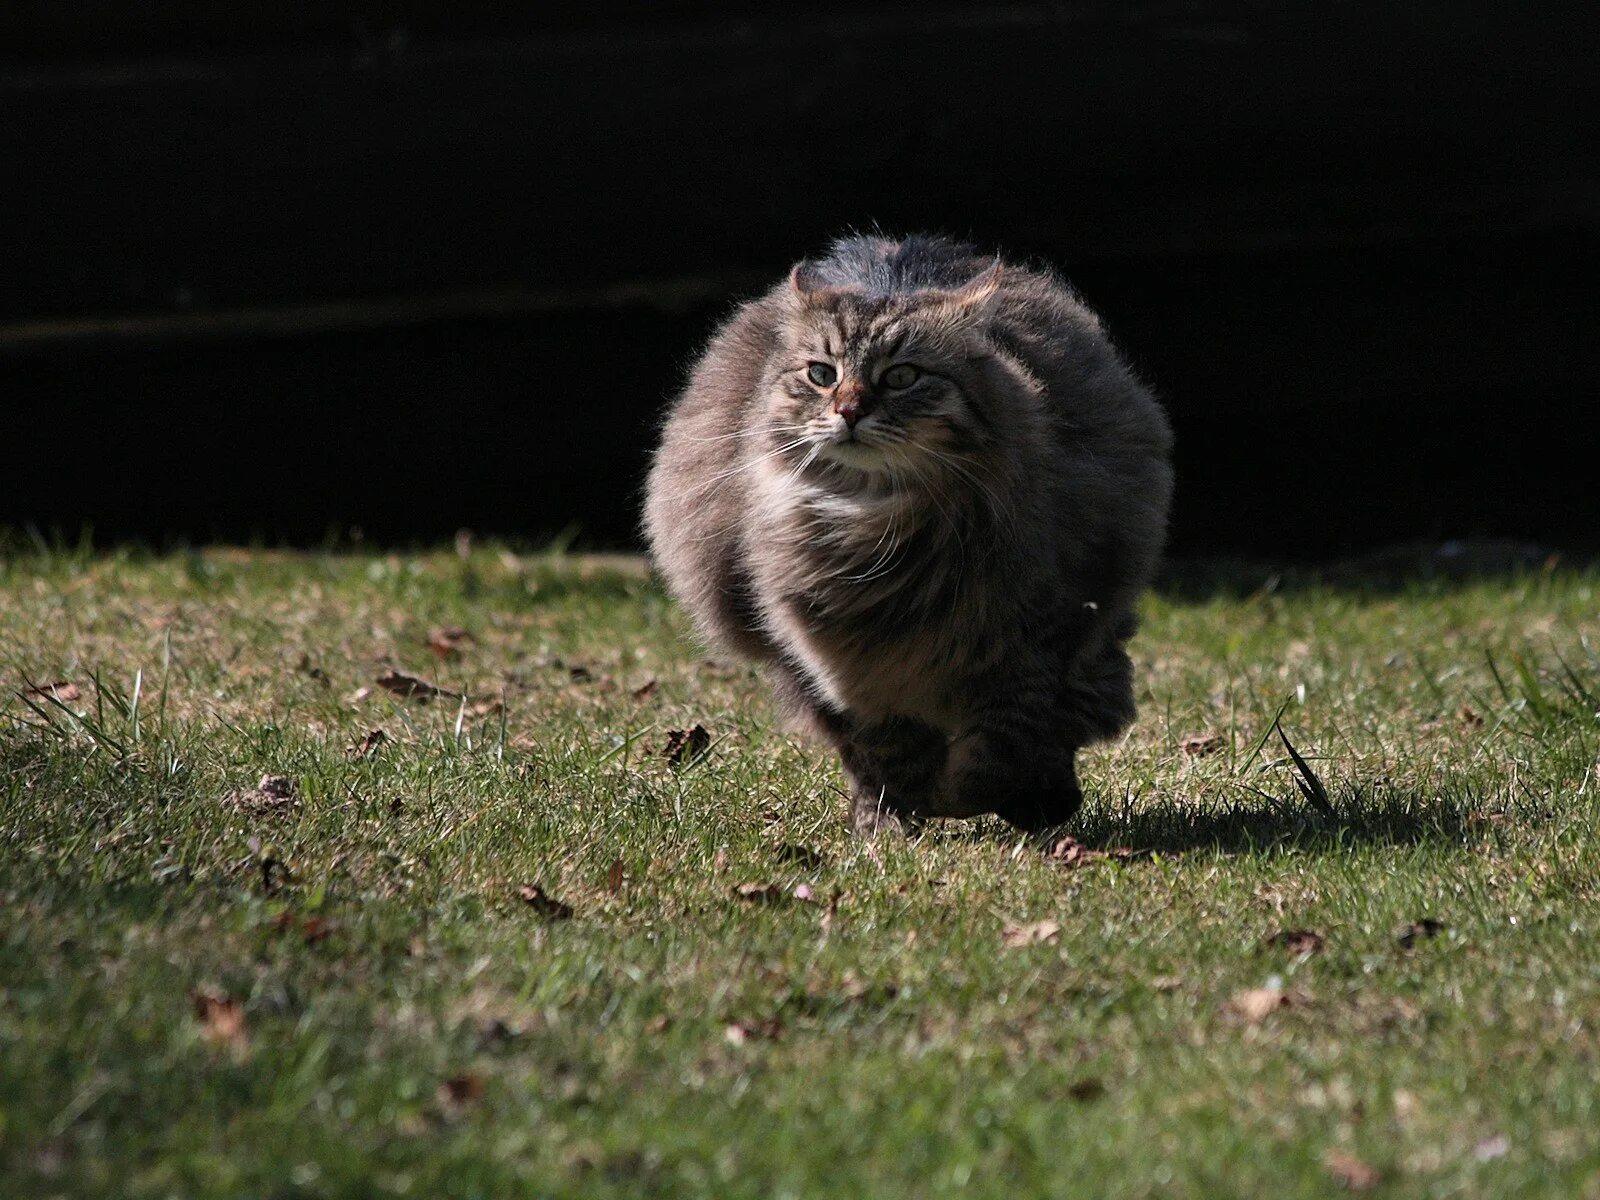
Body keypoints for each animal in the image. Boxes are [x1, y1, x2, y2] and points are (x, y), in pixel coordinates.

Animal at [640, 235, 1177, 838]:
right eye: (821, 374)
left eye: (901, 377)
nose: (848, 410)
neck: (871, 529)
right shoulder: (846, 673)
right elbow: (888, 755)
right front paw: (895, 821)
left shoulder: (1037, 642)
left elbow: (999, 752)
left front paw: (974, 797)